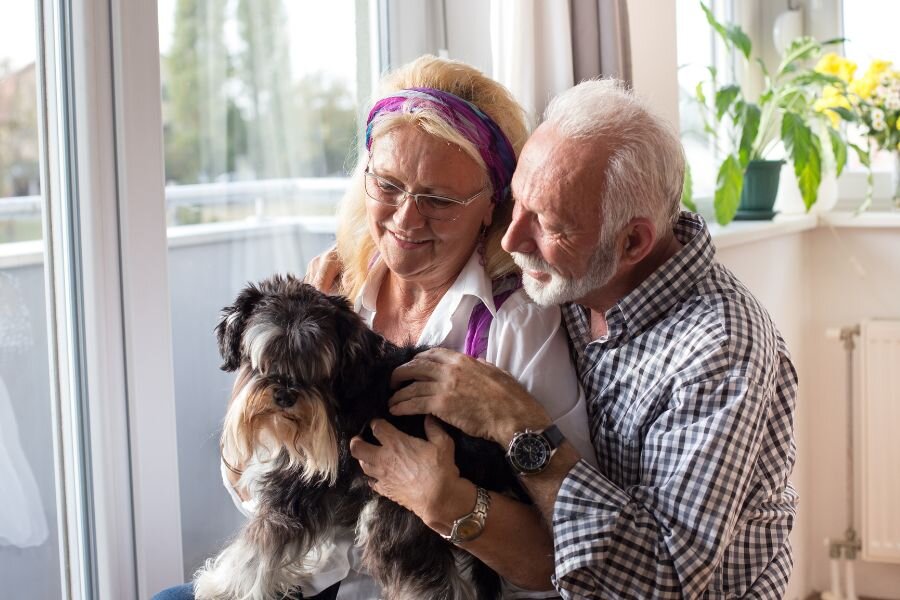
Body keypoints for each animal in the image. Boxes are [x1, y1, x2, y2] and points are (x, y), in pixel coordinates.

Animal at [192, 274, 524, 596]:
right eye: (268, 355)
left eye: (317, 364)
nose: (285, 395)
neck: (343, 393)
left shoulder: (294, 489)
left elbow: (257, 548)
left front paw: (219, 586)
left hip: (403, 510)